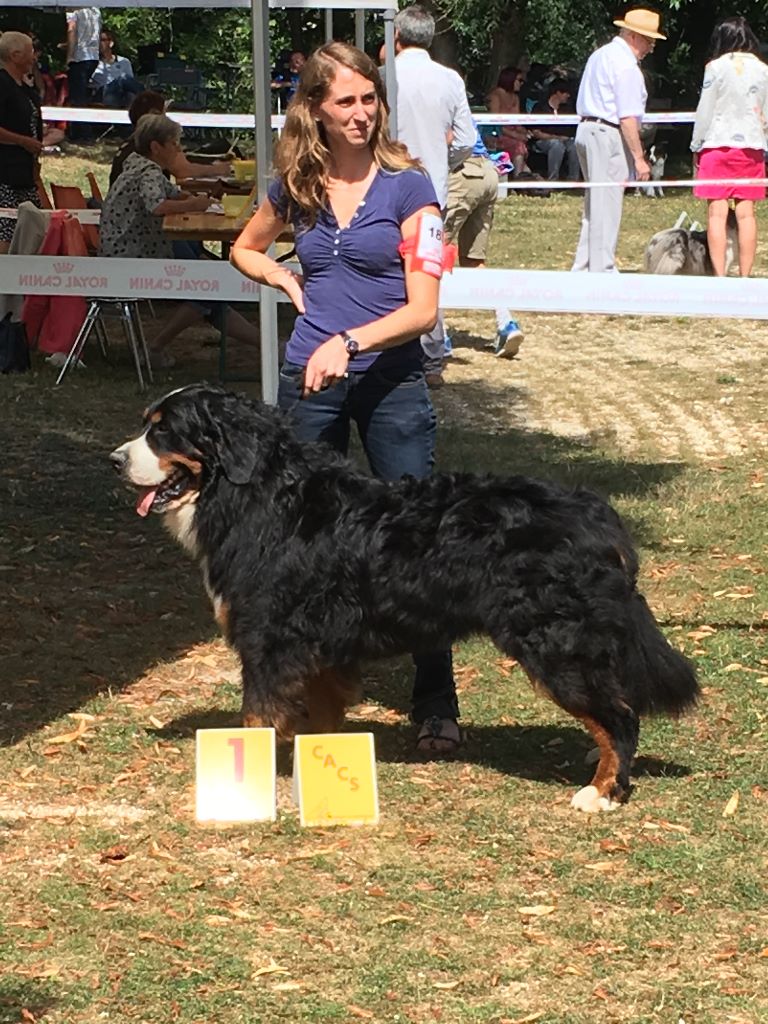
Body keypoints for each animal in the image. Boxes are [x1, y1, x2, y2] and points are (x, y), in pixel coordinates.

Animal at [111, 385, 700, 815]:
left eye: (162, 429)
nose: (114, 459)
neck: (261, 495)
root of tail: (596, 514)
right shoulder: (320, 648)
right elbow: (319, 720)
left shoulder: (269, 643)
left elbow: (256, 720)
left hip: (556, 645)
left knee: (620, 717)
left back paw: (601, 791)